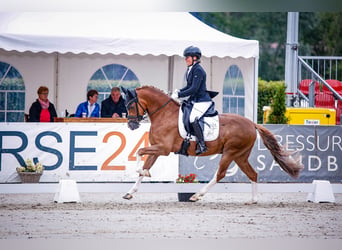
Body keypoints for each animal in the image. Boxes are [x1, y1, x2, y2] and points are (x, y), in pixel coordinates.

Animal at [120, 86, 302, 203]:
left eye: (131, 105)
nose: (131, 125)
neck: (164, 114)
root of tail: (251, 123)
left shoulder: (164, 149)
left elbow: (139, 152)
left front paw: (139, 170)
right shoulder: (157, 149)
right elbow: (145, 165)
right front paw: (130, 192)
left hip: (230, 152)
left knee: (220, 174)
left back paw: (196, 195)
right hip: (240, 155)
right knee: (253, 174)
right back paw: (253, 200)